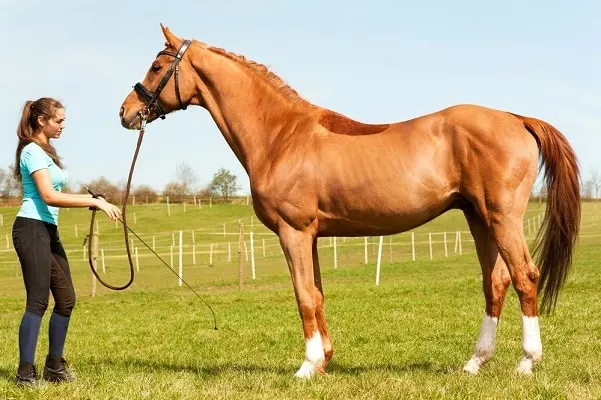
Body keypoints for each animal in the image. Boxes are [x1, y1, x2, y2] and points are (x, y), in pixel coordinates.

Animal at [118, 25, 576, 378]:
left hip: (502, 218)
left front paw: (306, 367)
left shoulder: (293, 232)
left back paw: (526, 363)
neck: (281, 135)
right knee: (495, 282)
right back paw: (475, 363)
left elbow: (303, 295)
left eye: (157, 67)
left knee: (525, 277)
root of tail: (517, 118)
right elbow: (317, 294)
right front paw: (324, 362)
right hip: (478, 218)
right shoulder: (312, 236)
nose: (126, 111)